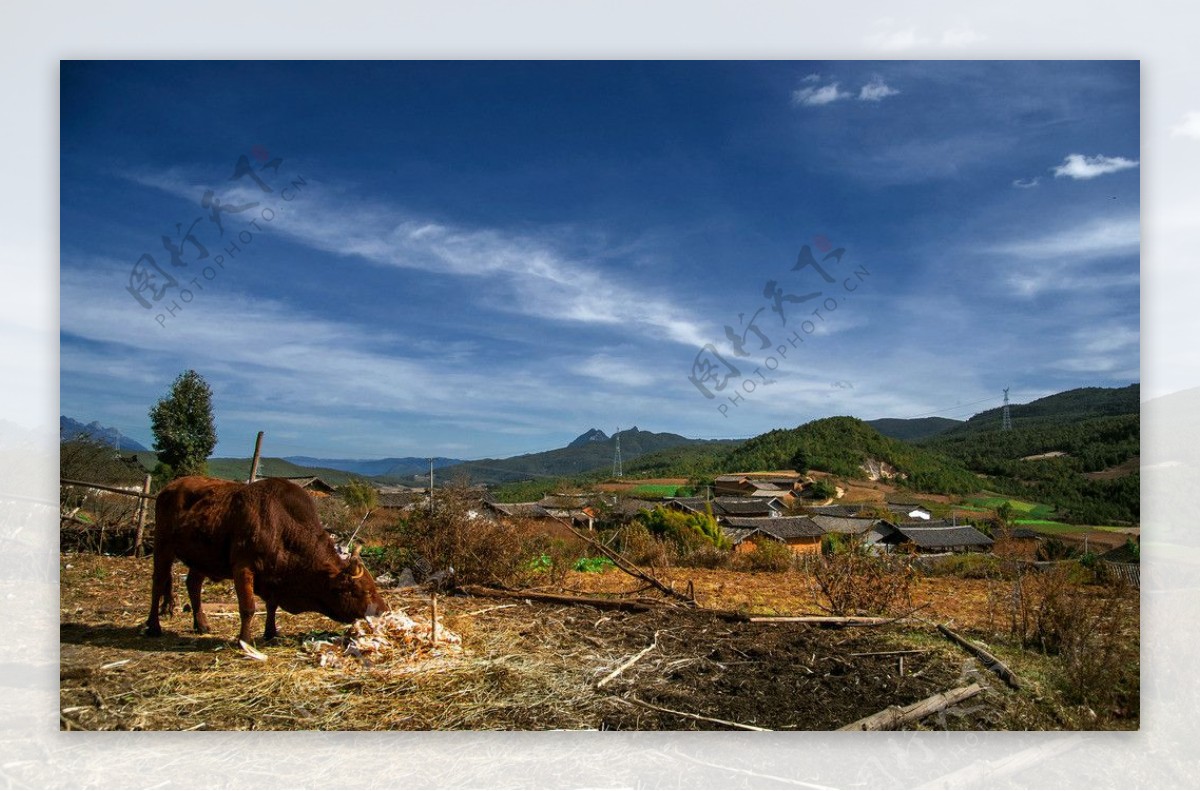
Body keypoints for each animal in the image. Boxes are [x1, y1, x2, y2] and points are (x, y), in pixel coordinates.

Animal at [144, 477, 388, 643]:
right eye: (364, 591)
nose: (383, 610)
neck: (281, 525)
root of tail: (169, 487)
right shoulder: (243, 568)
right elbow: (248, 607)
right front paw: (245, 640)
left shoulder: (274, 577)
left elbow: (272, 605)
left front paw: (271, 632)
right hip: (163, 547)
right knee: (158, 583)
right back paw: (154, 626)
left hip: (202, 559)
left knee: (193, 585)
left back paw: (201, 624)